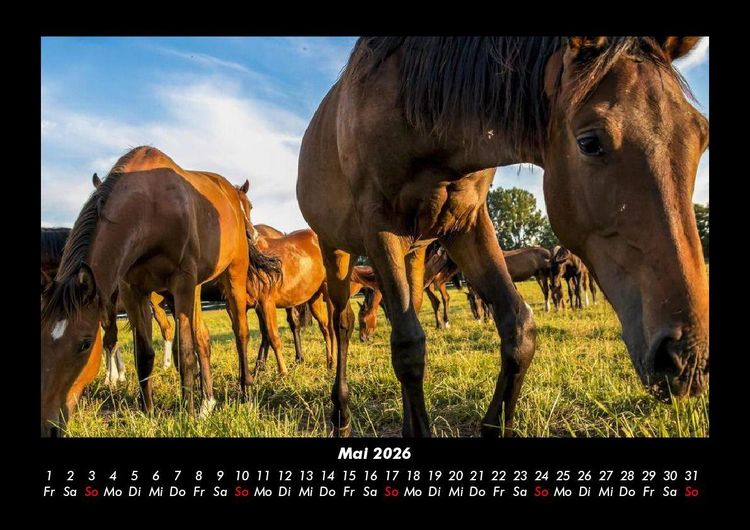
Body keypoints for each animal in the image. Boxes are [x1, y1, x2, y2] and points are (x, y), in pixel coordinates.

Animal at [41, 146, 262, 436]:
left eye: (85, 344)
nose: (48, 427)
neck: (151, 209)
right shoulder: (132, 291)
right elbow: (144, 355)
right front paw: (150, 413)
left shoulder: (181, 283)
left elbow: (184, 353)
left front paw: (188, 416)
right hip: (192, 290)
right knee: (203, 338)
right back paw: (207, 402)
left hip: (233, 275)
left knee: (240, 333)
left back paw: (246, 395)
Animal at [297, 37, 709, 438]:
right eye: (590, 142)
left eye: (701, 135)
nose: (685, 358)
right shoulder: (379, 229)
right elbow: (408, 347)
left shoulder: (467, 224)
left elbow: (518, 328)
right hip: (336, 250)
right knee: (343, 322)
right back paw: (341, 416)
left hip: (413, 253)